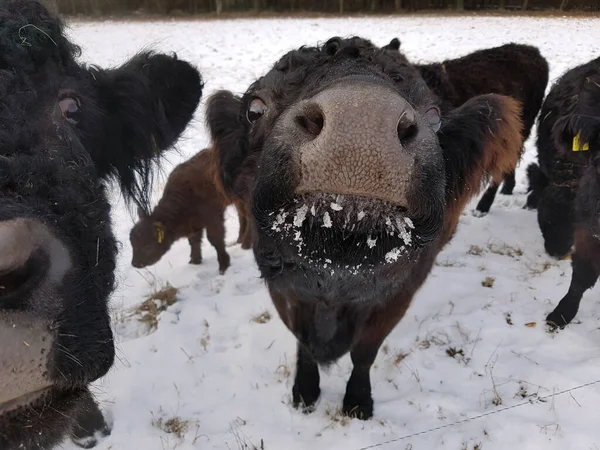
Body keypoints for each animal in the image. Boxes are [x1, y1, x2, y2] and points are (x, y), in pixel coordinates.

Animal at [205, 37, 520, 420]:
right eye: (255, 108)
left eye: (435, 114)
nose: (361, 117)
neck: (337, 281)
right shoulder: (284, 288)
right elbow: (302, 342)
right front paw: (304, 392)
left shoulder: (399, 295)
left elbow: (365, 352)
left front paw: (357, 400)